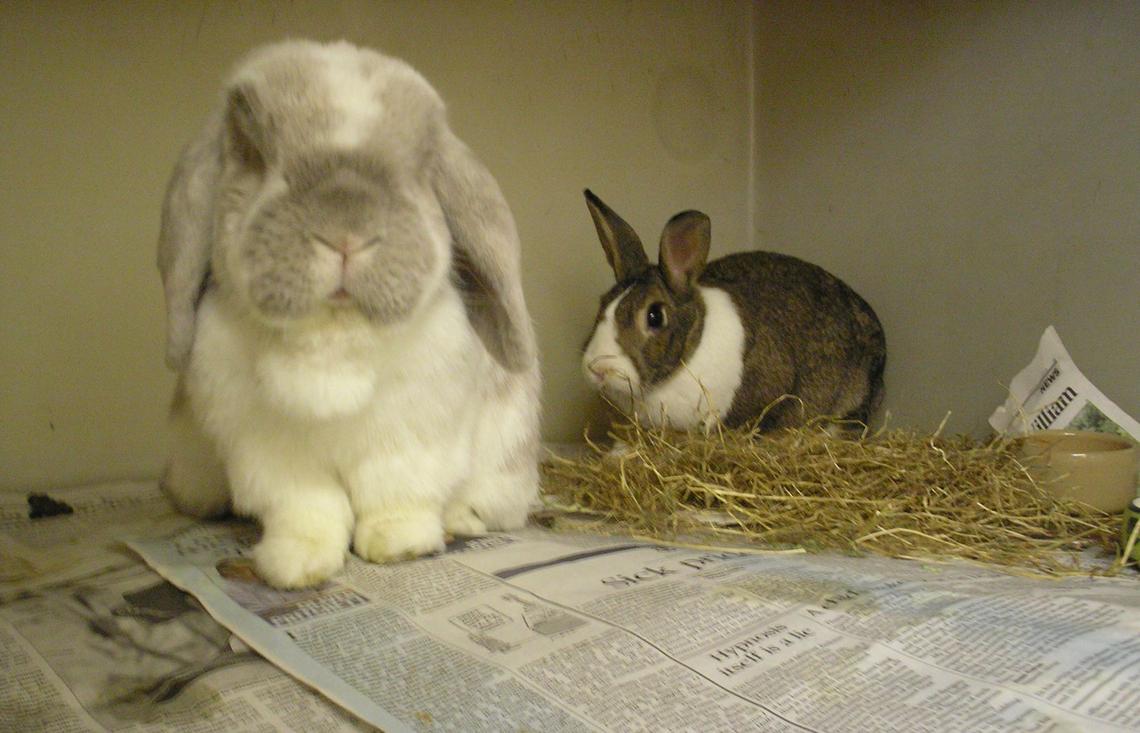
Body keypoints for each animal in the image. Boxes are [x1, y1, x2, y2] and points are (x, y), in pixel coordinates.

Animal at [157, 40, 541, 589]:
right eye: (253, 152)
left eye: (423, 165)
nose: (345, 233)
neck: (332, 342)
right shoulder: (272, 456)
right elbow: (308, 509)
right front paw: (296, 565)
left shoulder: (411, 435)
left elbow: (396, 492)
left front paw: (400, 545)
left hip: (503, 470)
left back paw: (459, 521)